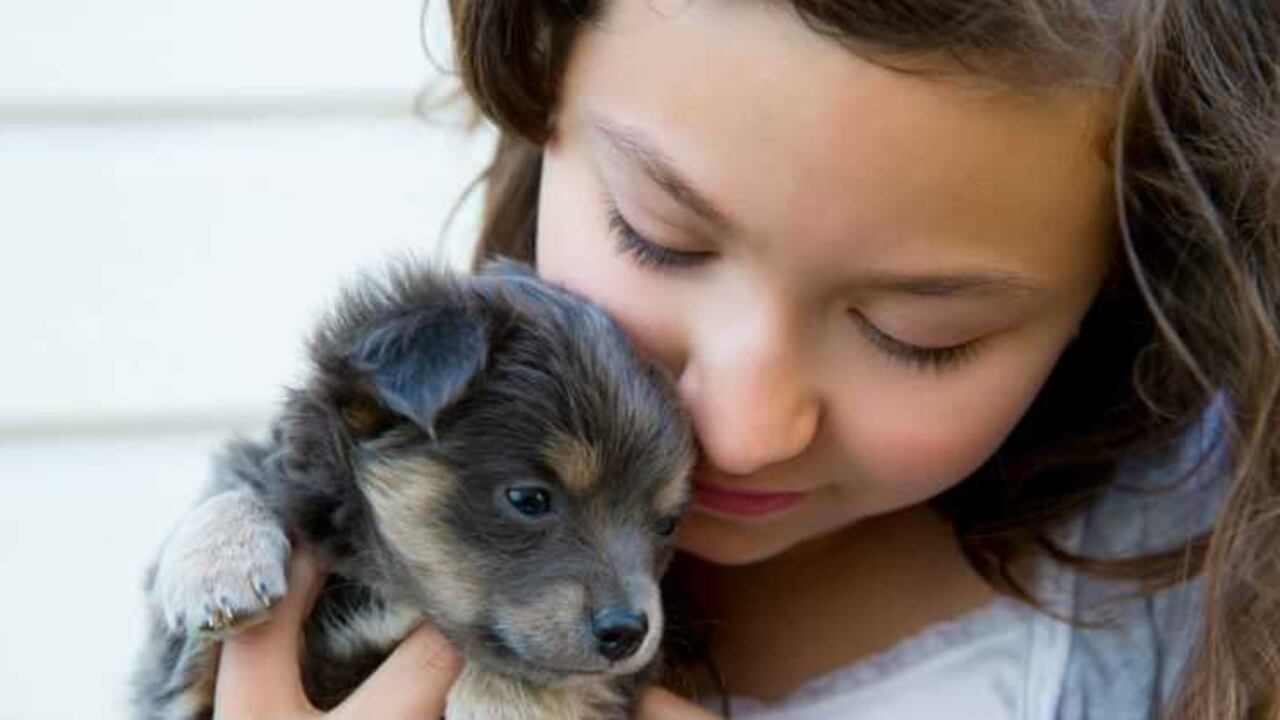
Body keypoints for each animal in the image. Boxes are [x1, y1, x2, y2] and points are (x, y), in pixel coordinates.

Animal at [131, 259, 695, 720]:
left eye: (666, 524)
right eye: (529, 499)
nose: (628, 631)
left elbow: (559, 672)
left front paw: (507, 703)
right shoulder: (179, 693)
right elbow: (239, 485)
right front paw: (218, 567)